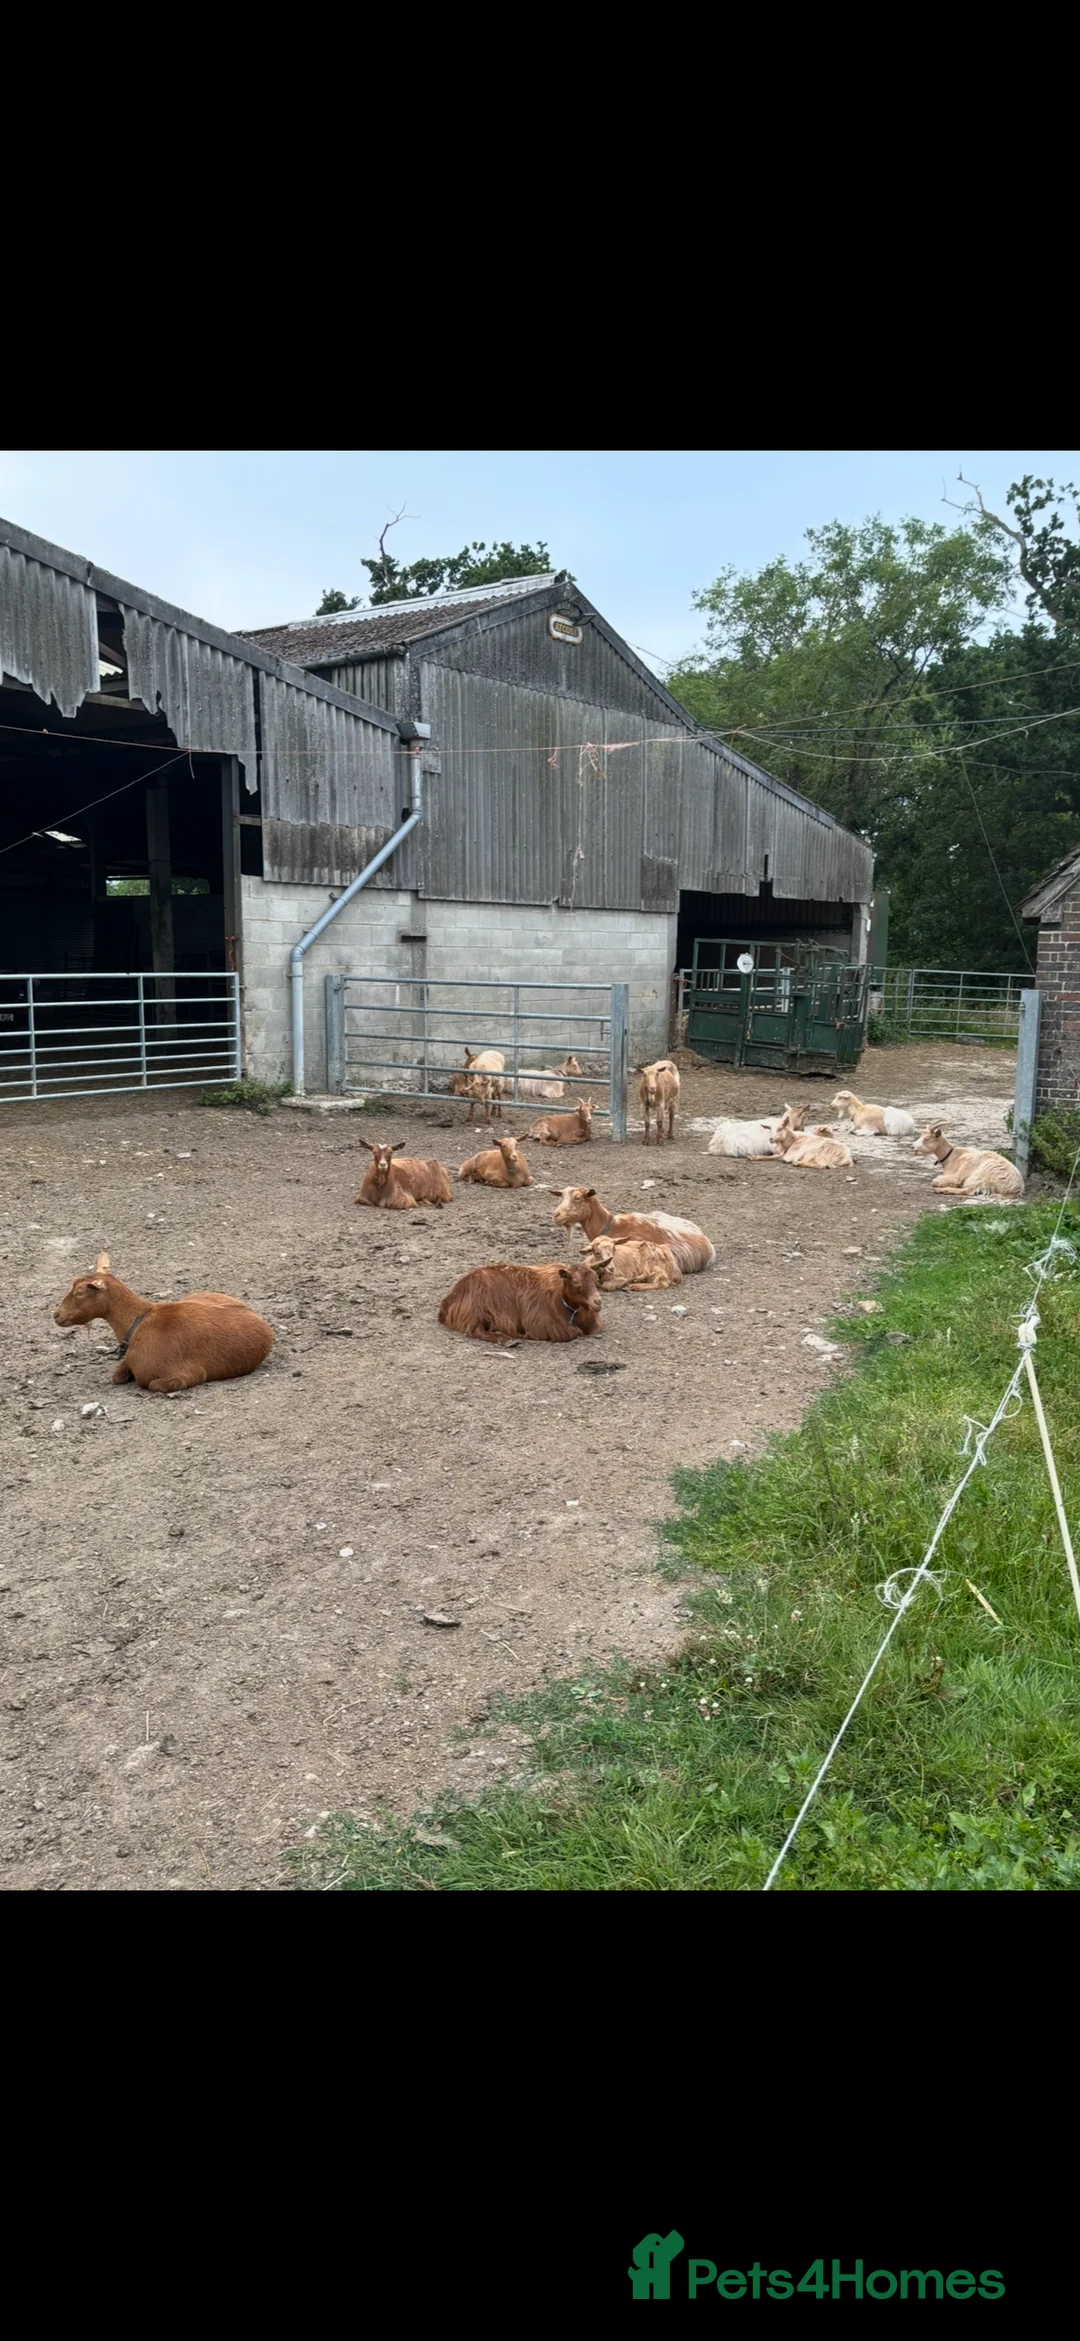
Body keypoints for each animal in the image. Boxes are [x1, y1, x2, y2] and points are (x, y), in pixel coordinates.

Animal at [53, 1253, 273, 1394]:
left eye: (80, 1292)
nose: (56, 1315)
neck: (139, 1325)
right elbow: (117, 1376)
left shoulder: (187, 1375)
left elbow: (152, 1385)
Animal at [438, 1261, 602, 1344]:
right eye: (575, 1281)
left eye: (596, 1279)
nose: (597, 1302)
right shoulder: (543, 1324)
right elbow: (576, 1333)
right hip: (477, 1309)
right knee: (474, 1330)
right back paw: (505, 1339)